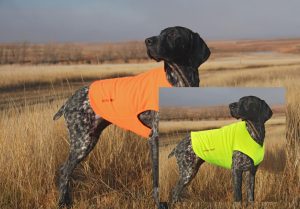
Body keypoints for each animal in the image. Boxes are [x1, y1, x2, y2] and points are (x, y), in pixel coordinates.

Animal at [52, 26, 210, 207]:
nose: (148, 41)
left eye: (173, 34)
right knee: (65, 170)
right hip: (82, 142)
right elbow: (156, 182)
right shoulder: (154, 137)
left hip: (89, 139)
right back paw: (62, 202)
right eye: (161, 33)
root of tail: (68, 101)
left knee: (65, 169)